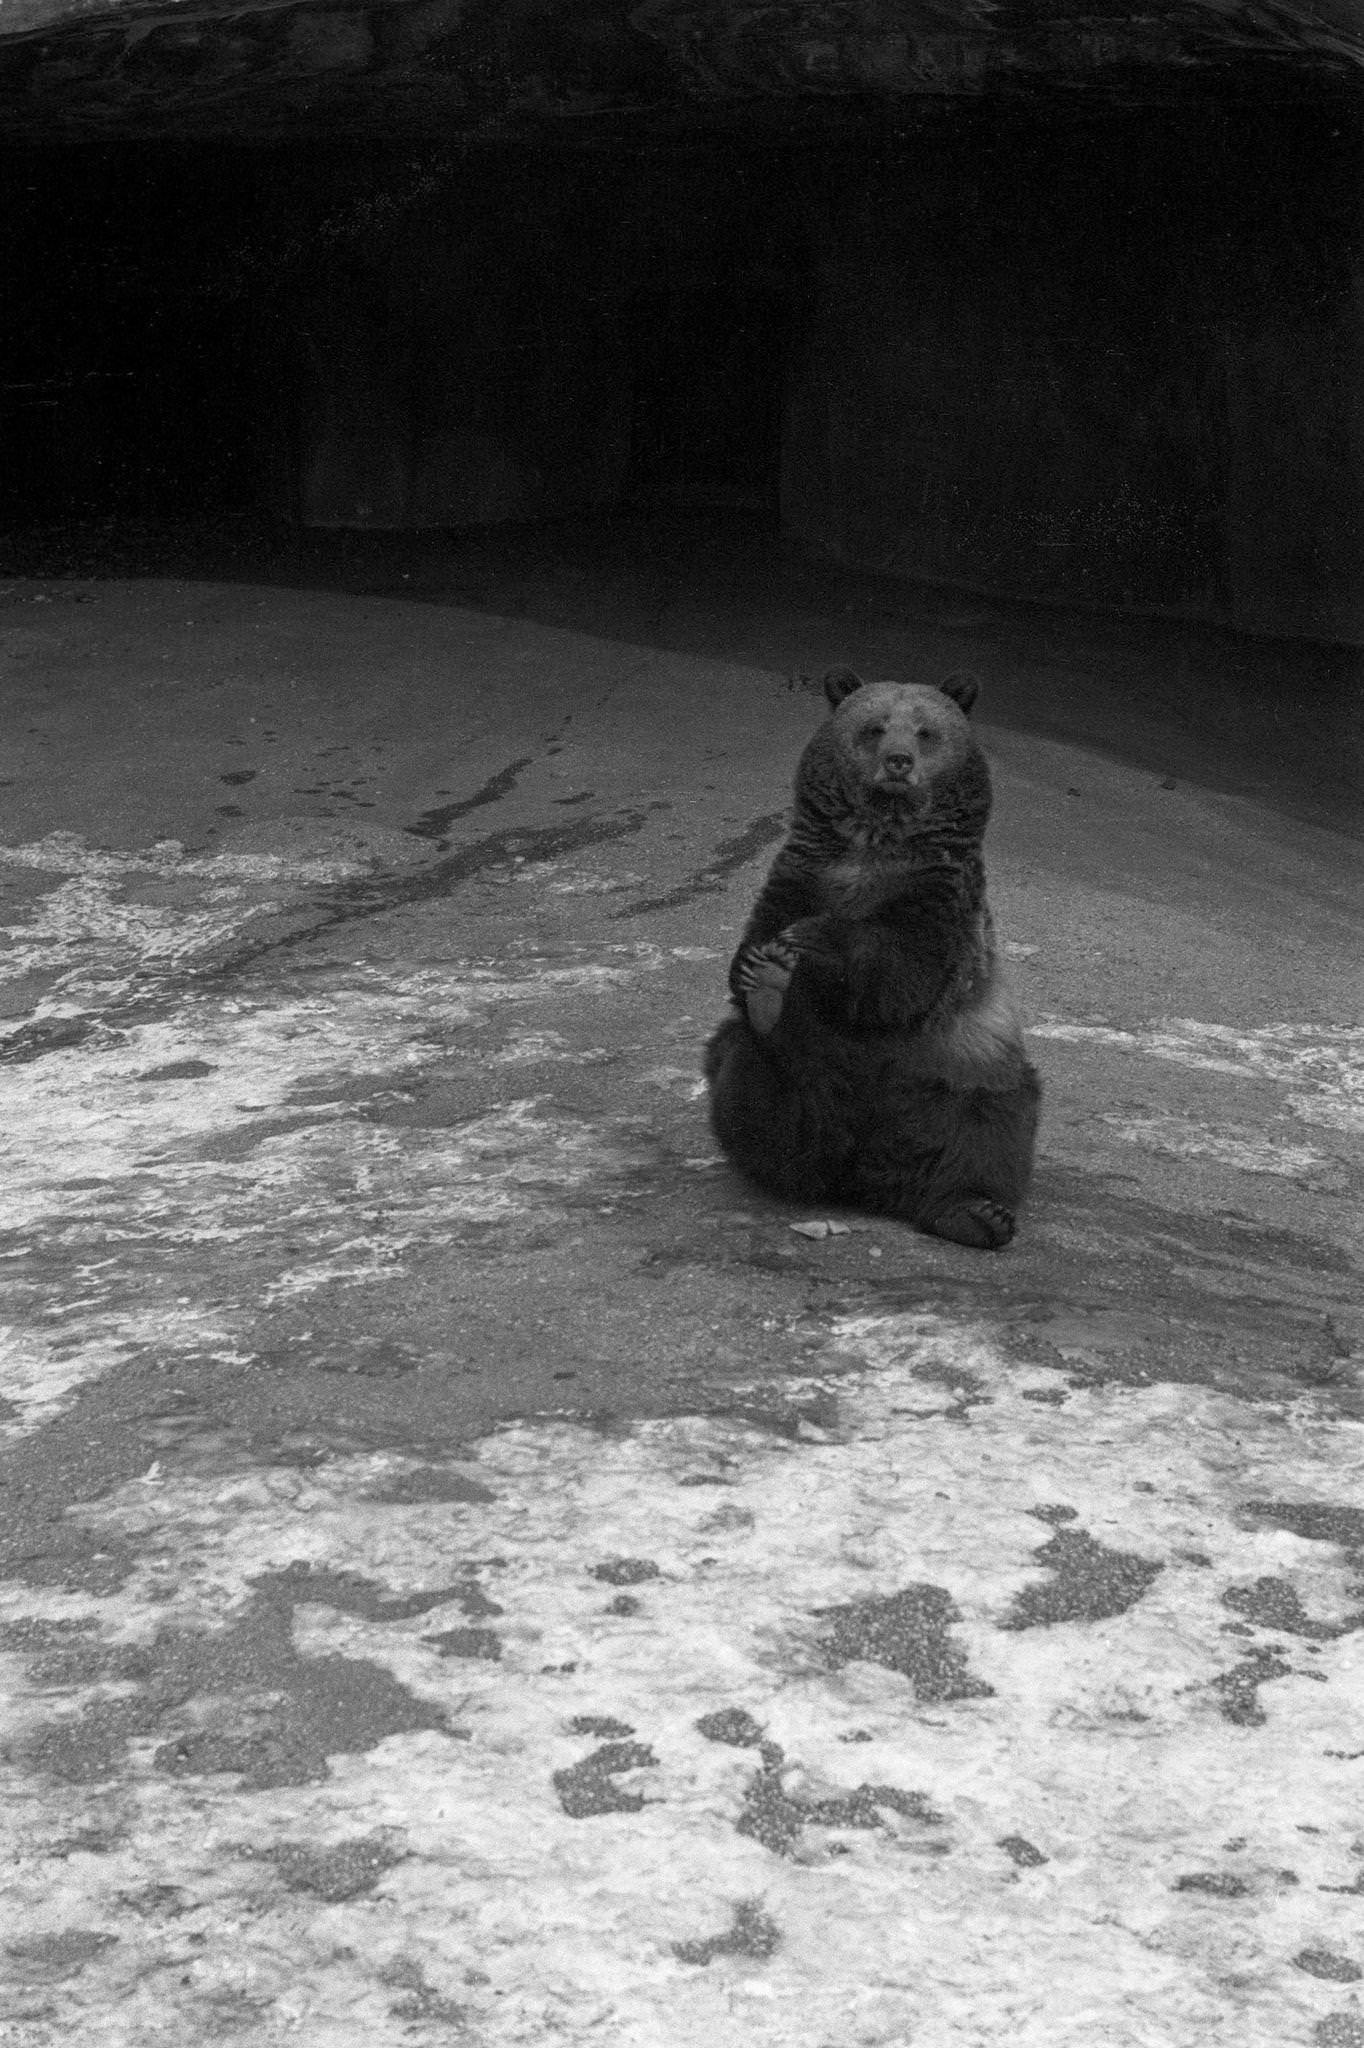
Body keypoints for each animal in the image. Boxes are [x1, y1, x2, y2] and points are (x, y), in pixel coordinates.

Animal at [704, 667, 1036, 1245]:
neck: (878, 838)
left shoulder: (940, 896)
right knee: (755, 1086)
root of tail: (860, 1174)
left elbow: (905, 970)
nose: (898, 761)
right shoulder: (804, 872)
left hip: (956, 1074)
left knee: (988, 1132)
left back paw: (975, 1212)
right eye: (875, 727)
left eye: (926, 731)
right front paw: (757, 965)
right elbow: (761, 932)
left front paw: (814, 939)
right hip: (794, 1078)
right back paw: (771, 1005)